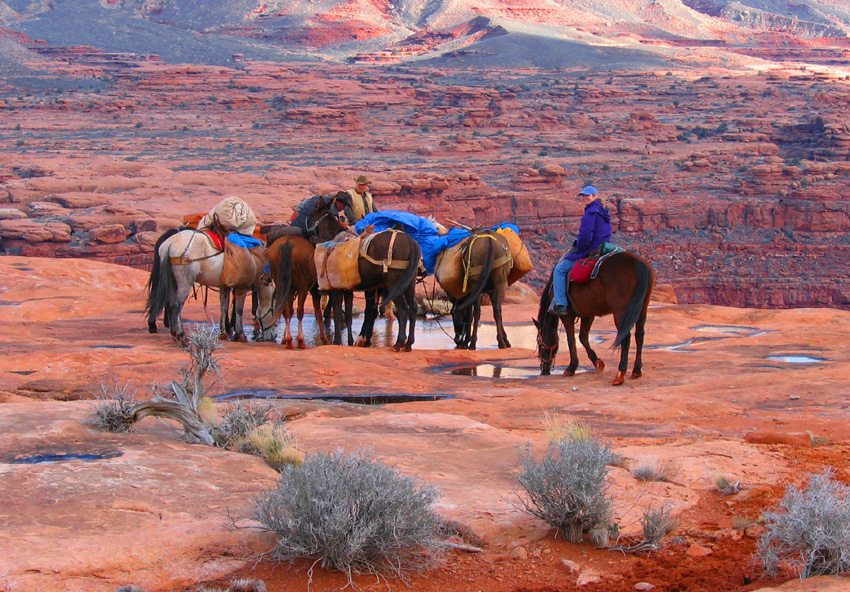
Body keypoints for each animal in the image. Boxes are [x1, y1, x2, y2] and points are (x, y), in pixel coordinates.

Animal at [144, 228, 274, 346]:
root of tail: (169, 244)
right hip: (185, 283)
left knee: (169, 302)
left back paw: (173, 332)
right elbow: (239, 310)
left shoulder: (224, 286)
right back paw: (181, 336)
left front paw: (223, 333)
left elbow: (223, 307)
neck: (256, 261)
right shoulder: (242, 286)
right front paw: (240, 335)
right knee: (176, 306)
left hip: (172, 282)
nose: (272, 337)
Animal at [532, 251, 652, 386]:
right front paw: (597, 362)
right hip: (642, 308)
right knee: (639, 335)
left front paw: (571, 367)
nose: (544, 369)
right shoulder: (588, 315)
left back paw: (620, 374)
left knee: (625, 338)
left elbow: (571, 339)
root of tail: (639, 264)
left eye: (539, 342)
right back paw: (636, 370)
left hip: (621, 312)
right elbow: (583, 337)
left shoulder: (567, 316)